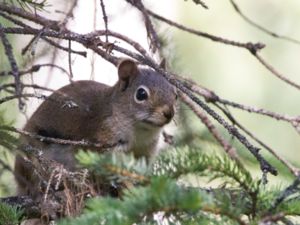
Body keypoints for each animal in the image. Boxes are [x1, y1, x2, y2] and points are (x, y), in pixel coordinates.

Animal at [14, 59, 177, 197]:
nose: (169, 113)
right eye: (141, 94)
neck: (139, 132)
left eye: (174, 93)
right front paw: (130, 188)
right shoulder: (104, 143)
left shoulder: (144, 152)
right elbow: (115, 174)